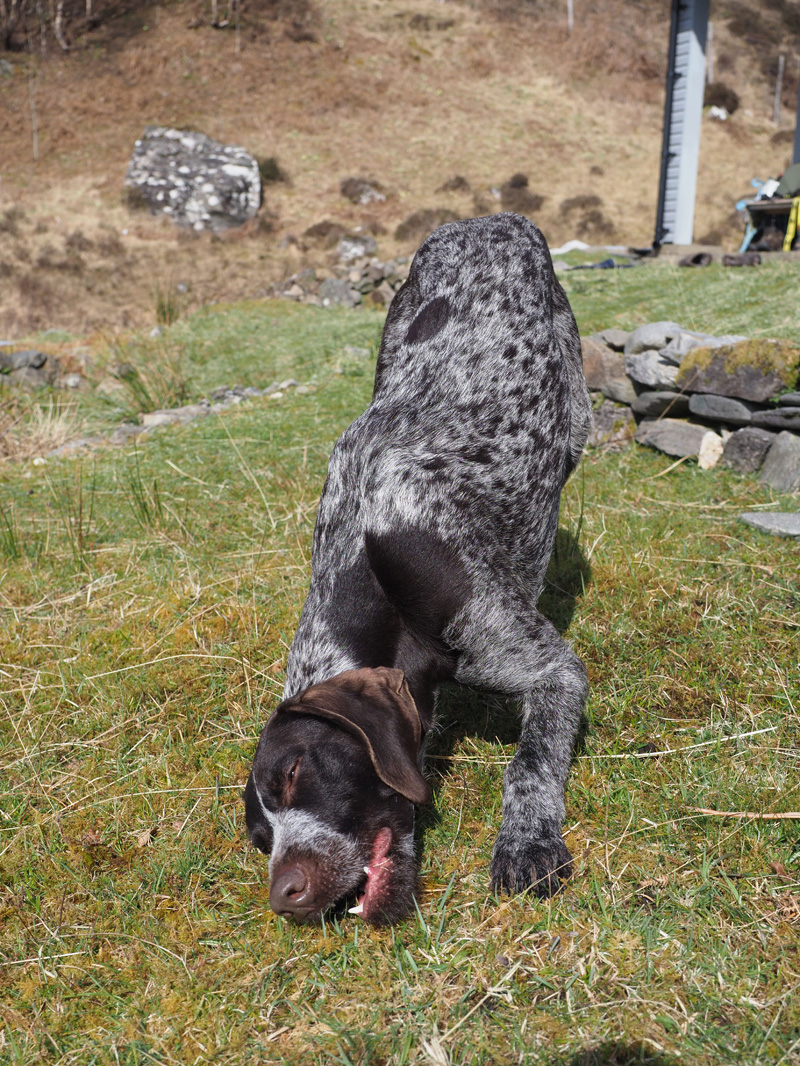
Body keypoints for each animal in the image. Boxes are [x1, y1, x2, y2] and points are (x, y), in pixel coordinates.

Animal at [246, 210, 597, 925]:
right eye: (262, 836)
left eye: (295, 773)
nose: (283, 898)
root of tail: (491, 219)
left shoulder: (550, 670)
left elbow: (529, 764)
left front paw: (527, 841)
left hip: (576, 414)